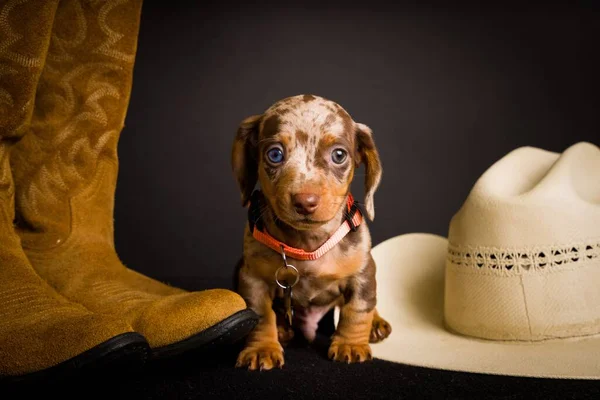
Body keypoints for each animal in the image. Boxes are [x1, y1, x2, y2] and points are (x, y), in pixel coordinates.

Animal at [229, 93, 390, 368]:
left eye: (339, 155)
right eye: (274, 154)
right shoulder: (252, 278)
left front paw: (350, 344)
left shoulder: (363, 273)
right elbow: (261, 315)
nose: (305, 201)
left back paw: (375, 322)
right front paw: (261, 348)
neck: (307, 245)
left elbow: (357, 309)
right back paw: (282, 330)